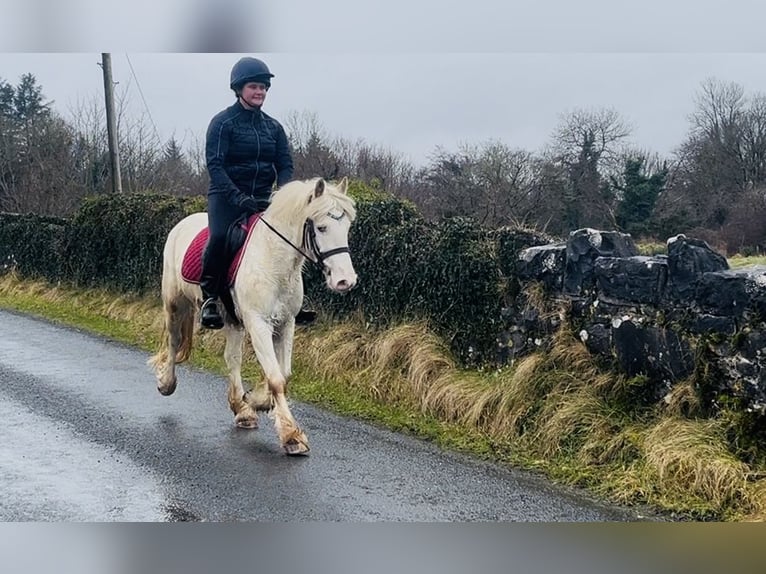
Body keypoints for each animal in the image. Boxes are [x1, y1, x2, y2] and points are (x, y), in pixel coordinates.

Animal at [148, 177, 357, 455]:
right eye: (322, 228)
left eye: (346, 227)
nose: (346, 281)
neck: (273, 261)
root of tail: (183, 223)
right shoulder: (258, 323)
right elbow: (276, 378)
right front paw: (292, 436)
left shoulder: (286, 323)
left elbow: (284, 373)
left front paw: (257, 401)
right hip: (175, 303)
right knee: (174, 342)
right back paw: (166, 384)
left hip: (232, 320)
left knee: (232, 358)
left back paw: (241, 408)